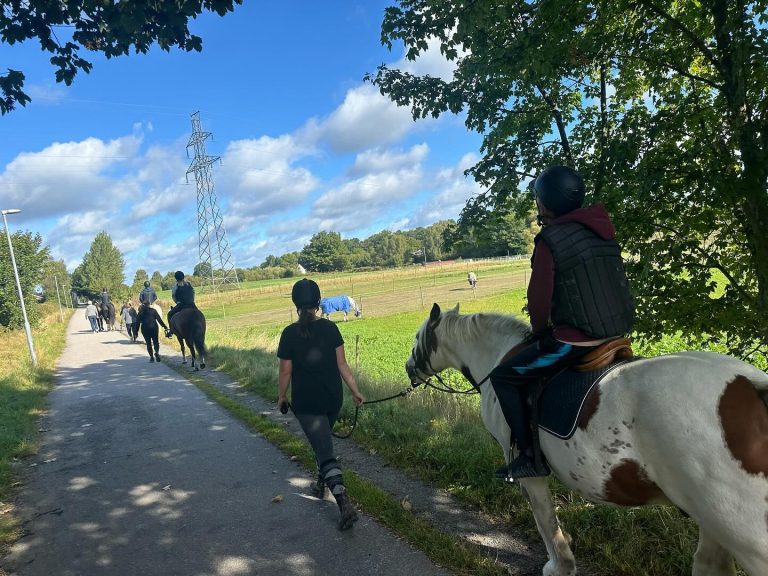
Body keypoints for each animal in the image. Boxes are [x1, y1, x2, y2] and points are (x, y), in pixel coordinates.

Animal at [404, 304, 764, 572]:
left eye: (417, 339)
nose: (408, 368)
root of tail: (751, 385)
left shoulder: (526, 470)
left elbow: (545, 521)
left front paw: (560, 566)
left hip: (742, 533)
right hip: (712, 520)